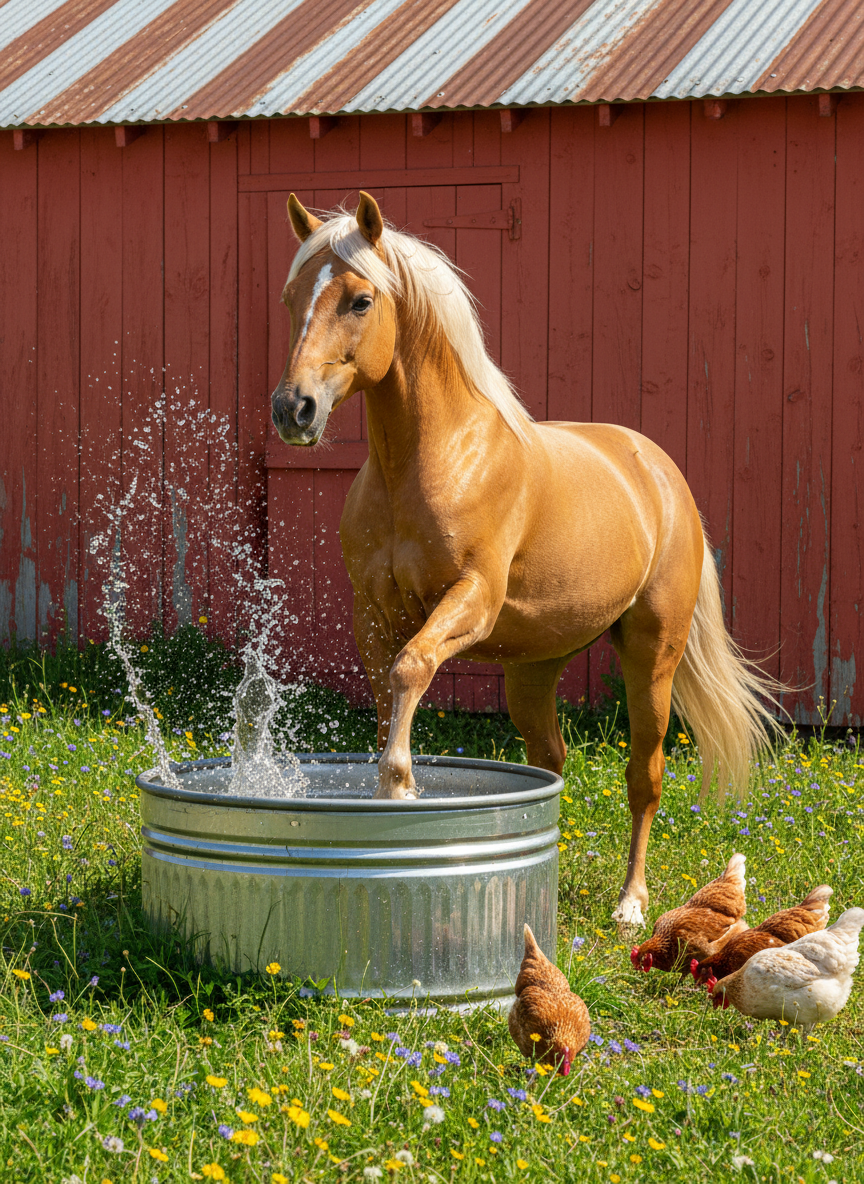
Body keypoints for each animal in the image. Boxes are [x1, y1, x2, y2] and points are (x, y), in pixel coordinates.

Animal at [270, 191, 778, 926]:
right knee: (552, 761)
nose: (294, 410)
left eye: (361, 300)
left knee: (644, 778)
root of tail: (659, 472)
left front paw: (399, 789)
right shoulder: (375, 616)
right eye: (290, 298)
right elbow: (389, 690)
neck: (433, 460)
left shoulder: (469, 601)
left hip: (651, 656)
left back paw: (630, 905)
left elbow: (411, 669)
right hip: (532, 672)